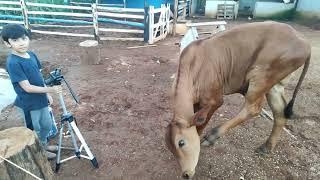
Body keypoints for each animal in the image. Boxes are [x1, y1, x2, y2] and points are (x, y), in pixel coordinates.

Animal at [165, 21, 310, 179]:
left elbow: (201, 124)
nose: (185, 174)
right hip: (275, 85)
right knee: (280, 113)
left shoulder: (214, 100)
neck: (193, 65)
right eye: (169, 147)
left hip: (260, 77)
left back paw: (213, 135)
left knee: (253, 108)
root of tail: (304, 42)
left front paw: (202, 137)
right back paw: (266, 147)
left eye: (181, 143)